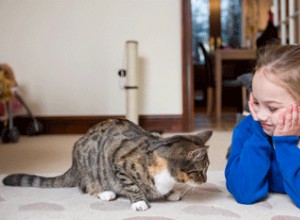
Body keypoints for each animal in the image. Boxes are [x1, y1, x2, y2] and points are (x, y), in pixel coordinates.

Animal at [2, 118, 213, 211]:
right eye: (201, 170)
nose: (205, 180)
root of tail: (73, 163)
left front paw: (170, 192)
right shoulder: (119, 162)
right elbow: (132, 185)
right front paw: (139, 202)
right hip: (90, 164)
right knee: (85, 186)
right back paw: (105, 192)